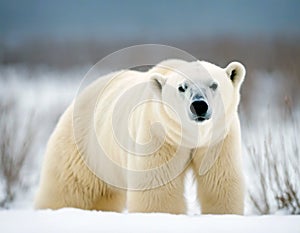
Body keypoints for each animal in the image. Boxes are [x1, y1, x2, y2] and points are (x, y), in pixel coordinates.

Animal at [35, 58, 246, 215]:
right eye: (182, 87)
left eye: (214, 85)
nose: (199, 105)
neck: (190, 135)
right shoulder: (158, 137)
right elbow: (157, 188)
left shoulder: (220, 139)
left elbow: (221, 181)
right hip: (82, 145)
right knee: (67, 186)